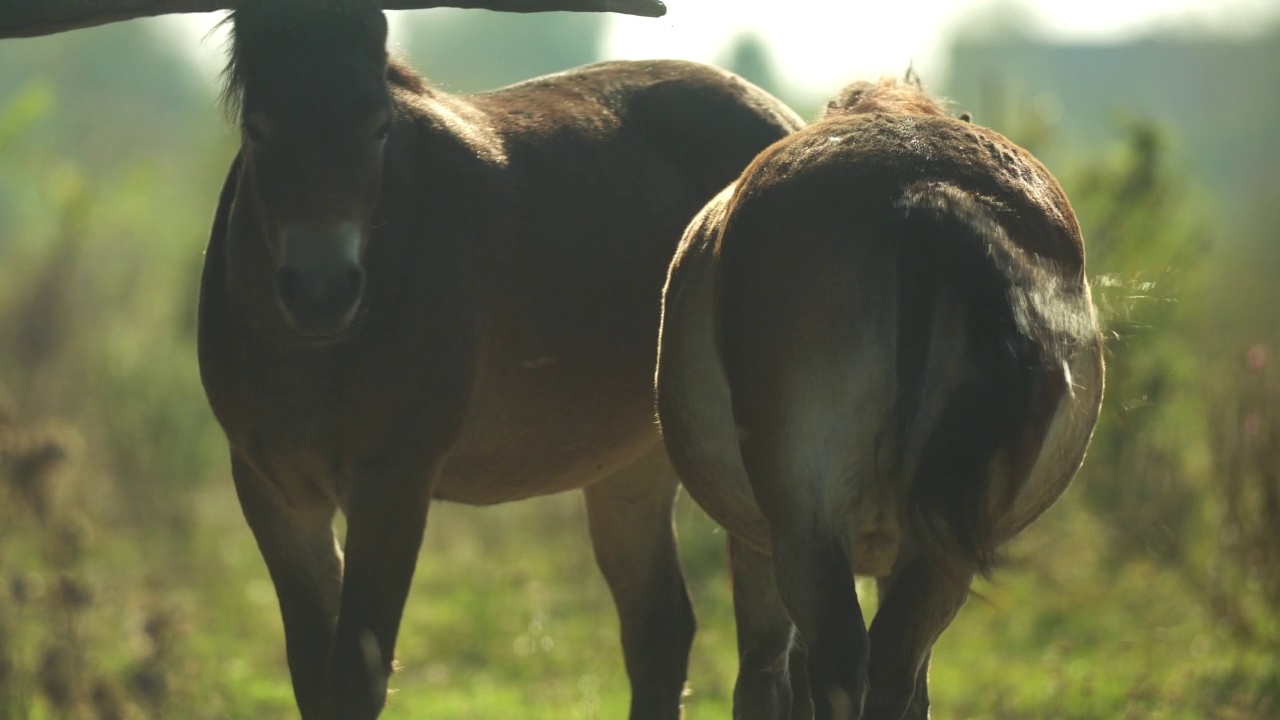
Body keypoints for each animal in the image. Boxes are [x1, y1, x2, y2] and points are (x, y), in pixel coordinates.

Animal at [194, 2, 798, 712]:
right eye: (258, 128)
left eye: (377, 126)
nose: (321, 292)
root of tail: (784, 120)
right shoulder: (275, 493)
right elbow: (314, 679)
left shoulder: (394, 483)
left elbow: (356, 677)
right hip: (634, 465)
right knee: (661, 633)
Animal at [655, 75, 1105, 712]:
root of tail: (922, 186)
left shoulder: (763, 542)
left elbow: (765, 673)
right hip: (936, 548)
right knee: (894, 666)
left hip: (804, 524)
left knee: (839, 663)